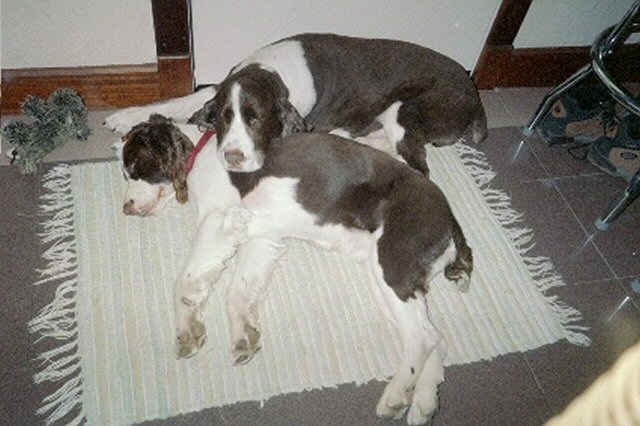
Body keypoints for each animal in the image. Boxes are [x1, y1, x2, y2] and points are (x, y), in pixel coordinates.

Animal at [106, 31, 484, 176]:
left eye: (257, 120)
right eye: (226, 118)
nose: (233, 158)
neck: (270, 71)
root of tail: (474, 96)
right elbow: (188, 99)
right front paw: (125, 117)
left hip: (406, 105)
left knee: (416, 162)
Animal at [107, 111, 472, 424]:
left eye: (134, 168)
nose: (125, 208)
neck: (201, 153)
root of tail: (451, 220)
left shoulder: (219, 219)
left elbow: (186, 281)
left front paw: (186, 332)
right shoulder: (261, 237)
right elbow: (238, 291)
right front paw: (244, 335)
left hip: (393, 264)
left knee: (422, 338)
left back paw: (396, 396)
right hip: (389, 279)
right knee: (434, 338)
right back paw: (423, 404)